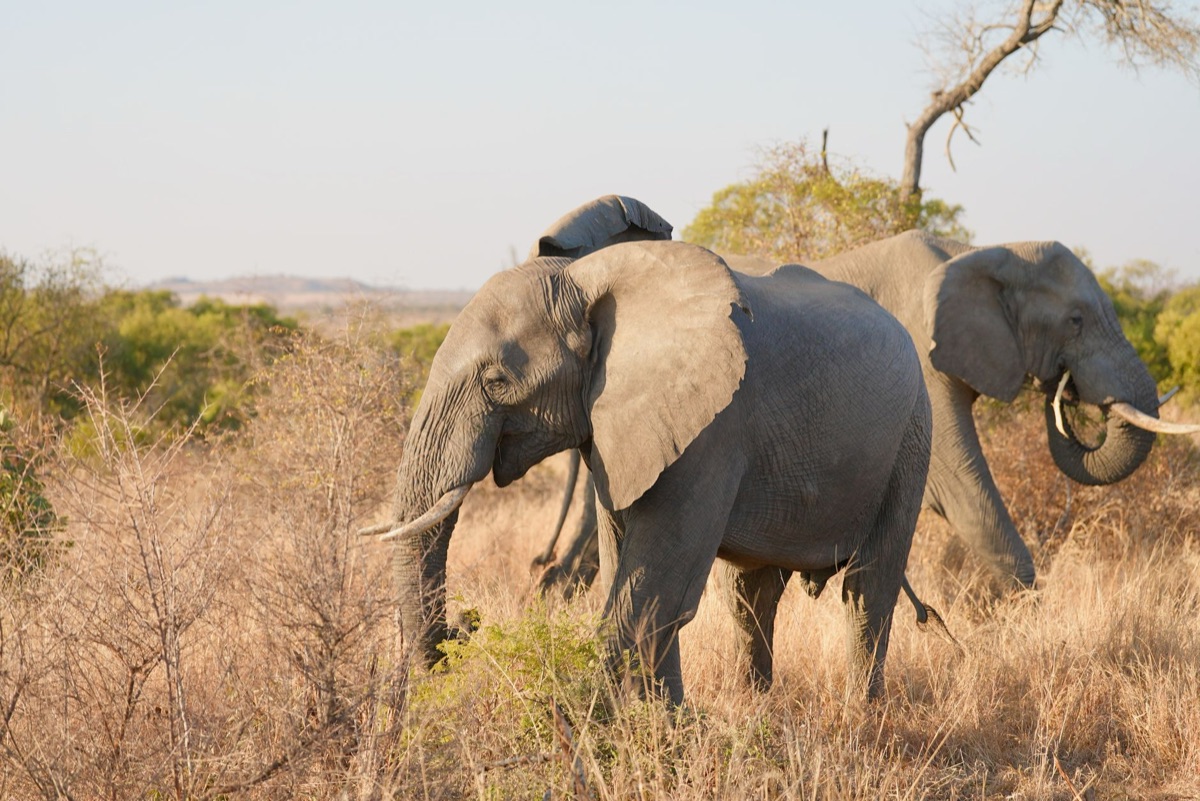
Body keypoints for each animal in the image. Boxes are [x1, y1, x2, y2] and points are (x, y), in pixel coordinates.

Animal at [366, 238, 933, 704]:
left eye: (497, 380)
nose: (466, 624)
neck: (583, 280)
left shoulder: (713, 429)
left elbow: (655, 594)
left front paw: (591, 722)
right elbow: (633, 573)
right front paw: (666, 723)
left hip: (911, 435)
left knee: (867, 590)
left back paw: (862, 715)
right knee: (751, 596)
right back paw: (759, 704)